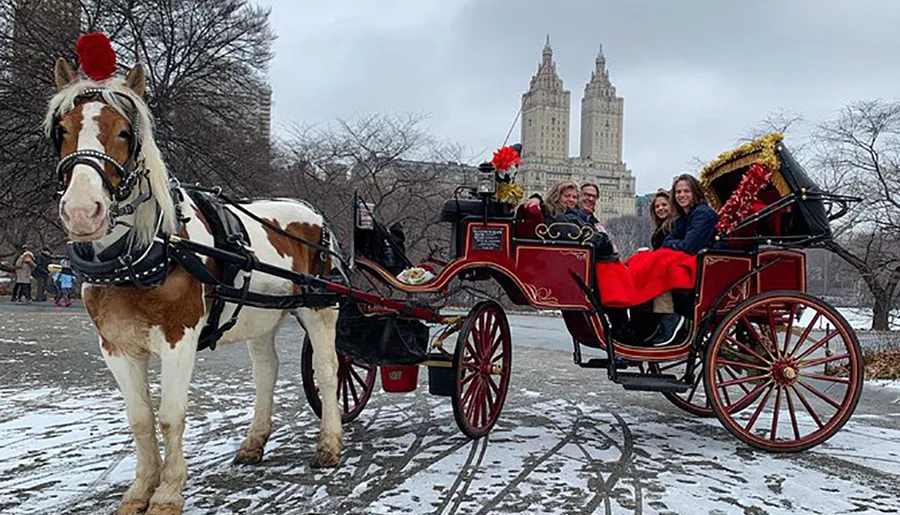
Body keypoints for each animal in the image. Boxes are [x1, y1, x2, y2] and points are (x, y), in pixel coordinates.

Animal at [47, 58, 346, 512]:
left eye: (125, 132)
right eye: (62, 130)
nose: (83, 212)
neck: (144, 252)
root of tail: (309, 210)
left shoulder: (179, 337)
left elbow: (170, 415)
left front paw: (168, 491)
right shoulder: (115, 346)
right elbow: (140, 419)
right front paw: (140, 490)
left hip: (319, 307)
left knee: (327, 371)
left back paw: (329, 445)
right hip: (260, 316)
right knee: (266, 372)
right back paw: (254, 441)